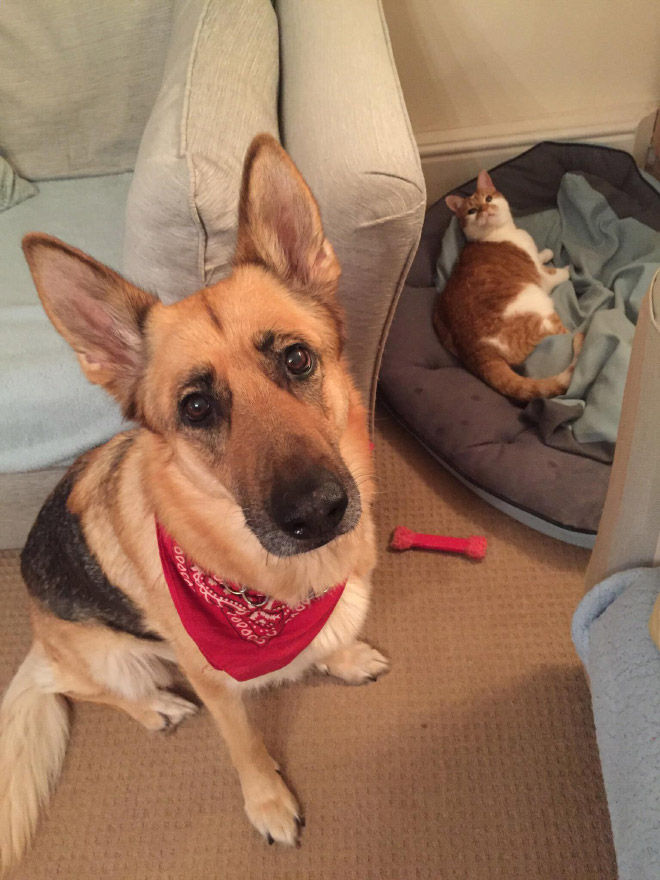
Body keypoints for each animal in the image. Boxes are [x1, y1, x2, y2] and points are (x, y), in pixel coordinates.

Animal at [1, 134, 386, 868]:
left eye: (297, 360)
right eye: (197, 407)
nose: (318, 512)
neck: (270, 587)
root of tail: (38, 634)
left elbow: (323, 639)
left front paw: (341, 657)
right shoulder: (215, 683)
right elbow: (245, 745)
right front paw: (267, 802)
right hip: (113, 658)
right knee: (74, 688)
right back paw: (155, 707)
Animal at [434, 169, 584, 402]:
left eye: (488, 199)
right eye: (472, 211)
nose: (485, 210)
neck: (501, 233)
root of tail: (478, 353)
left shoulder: (534, 258)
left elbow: (539, 255)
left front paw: (545, 253)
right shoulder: (541, 277)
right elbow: (555, 273)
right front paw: (567, 270)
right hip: (538, 304)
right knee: (565, 333)